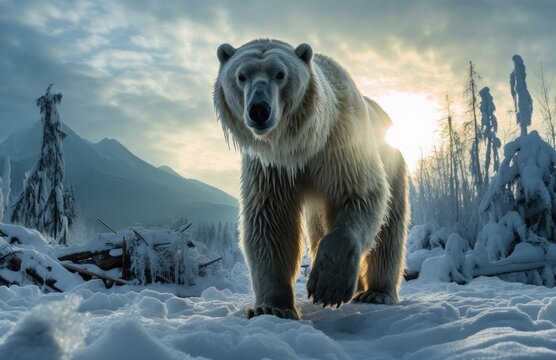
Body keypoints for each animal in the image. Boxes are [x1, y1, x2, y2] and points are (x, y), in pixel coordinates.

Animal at [213, 40, 408, 320]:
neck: (301, 146)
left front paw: (329, 286)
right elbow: (270, 220)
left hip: (393, 162)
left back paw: (376, 292)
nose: (259, 109)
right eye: (241, 76)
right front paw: (272, 307)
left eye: (280, 74)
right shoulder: (272, 168)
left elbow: (359, 193)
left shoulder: (339, 143)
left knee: (389, 227)